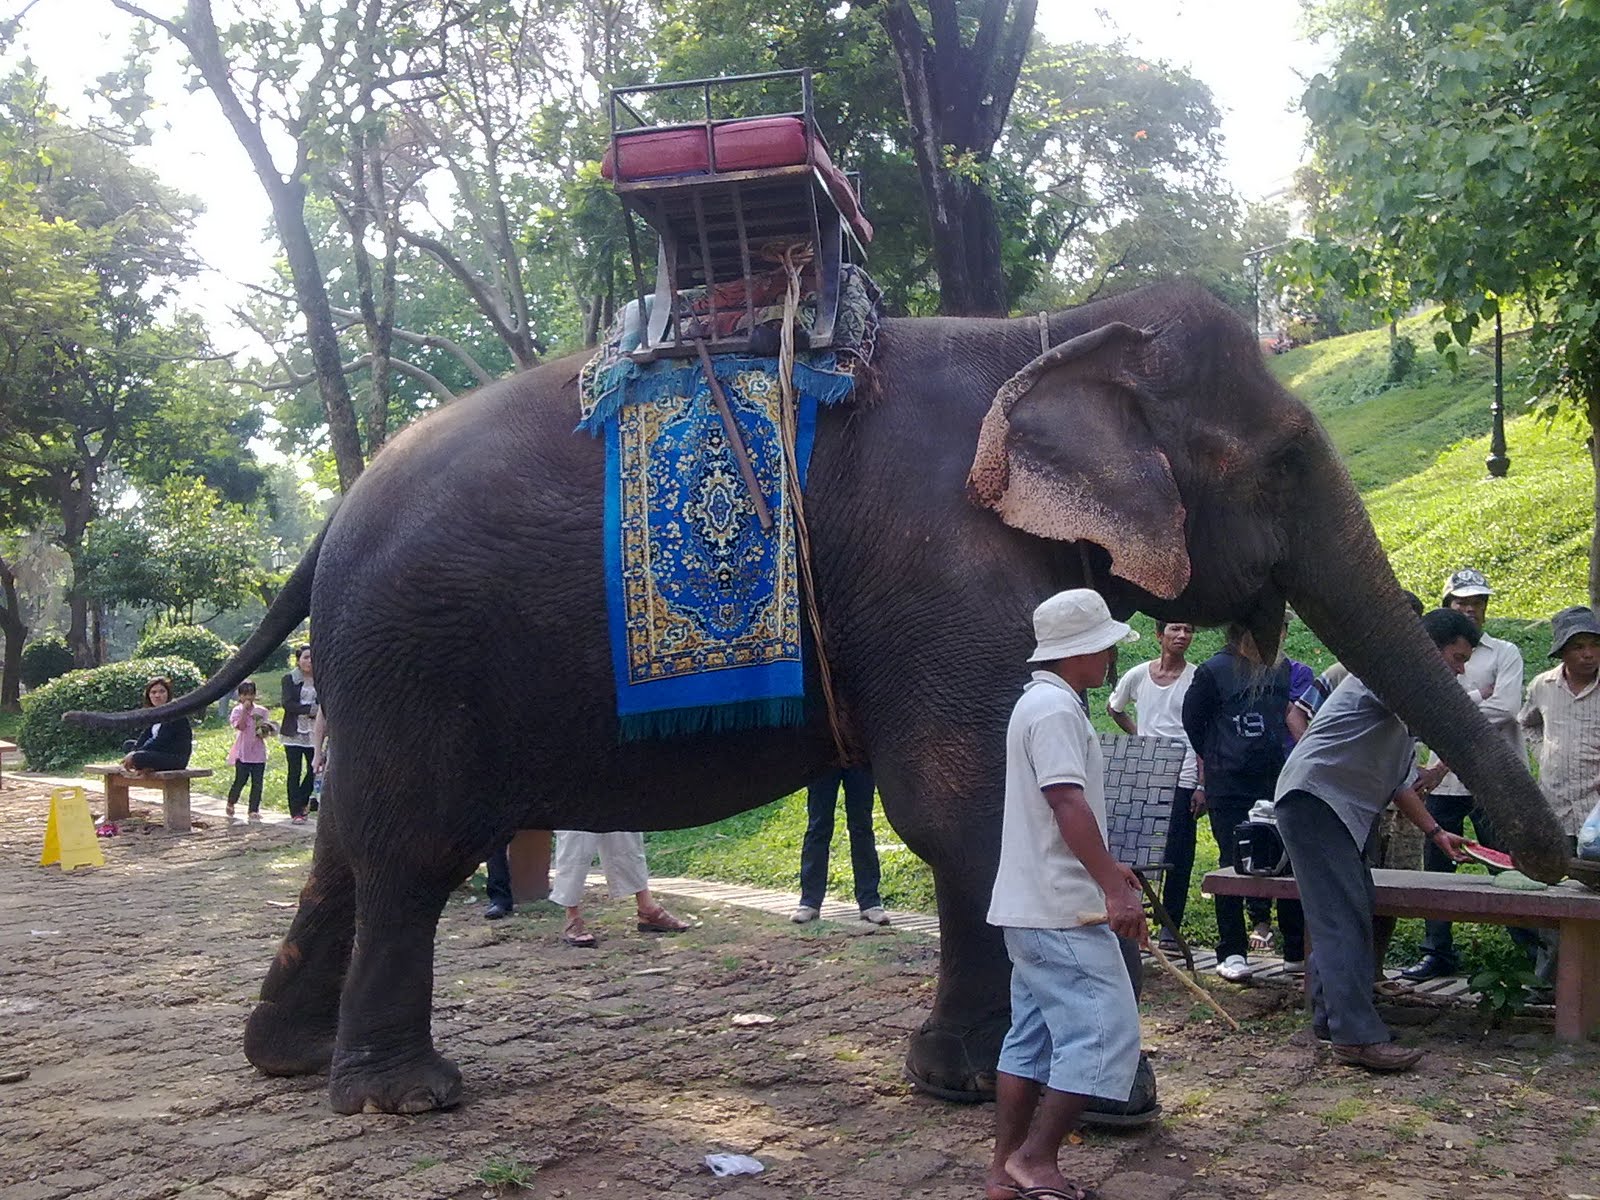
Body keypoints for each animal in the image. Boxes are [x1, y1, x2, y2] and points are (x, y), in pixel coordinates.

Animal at [72, 280, 1561, 1120]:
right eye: (1283, 459)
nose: (1545, 862)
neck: (1043, 333)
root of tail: (326, 522)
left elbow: (973, 815)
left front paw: (963, 1086)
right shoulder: (943, 562)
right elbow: (961, 802)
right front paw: (1108, 1101)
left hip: (378, 682)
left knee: (346, 846)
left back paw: (286, 1064)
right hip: (413, 656)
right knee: (411, 854)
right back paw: (403, 1099)